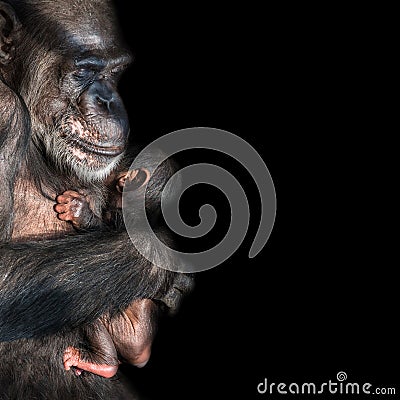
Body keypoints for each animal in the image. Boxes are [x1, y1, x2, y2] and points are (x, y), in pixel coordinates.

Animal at [0, 1, 194, 398]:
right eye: (85, 71)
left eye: (115, 73)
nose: (108, 101)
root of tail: (141, 349)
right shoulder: (5, 109)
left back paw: (100, 362)